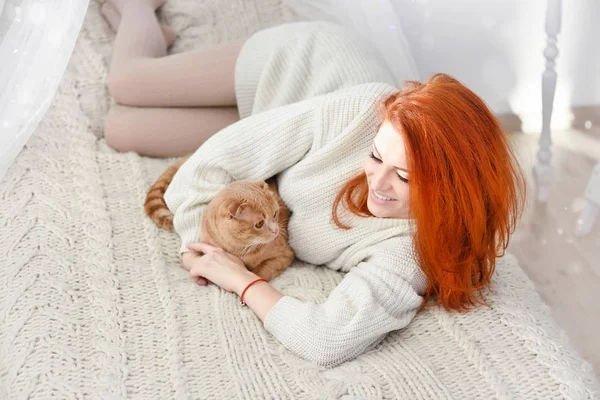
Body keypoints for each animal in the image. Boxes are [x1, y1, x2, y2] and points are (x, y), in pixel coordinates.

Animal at [145, 156, 296, 282]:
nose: (276, 231)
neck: (240, 250)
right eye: (259, 224)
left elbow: (259, 272)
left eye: (275, 213)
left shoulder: (283, 255)